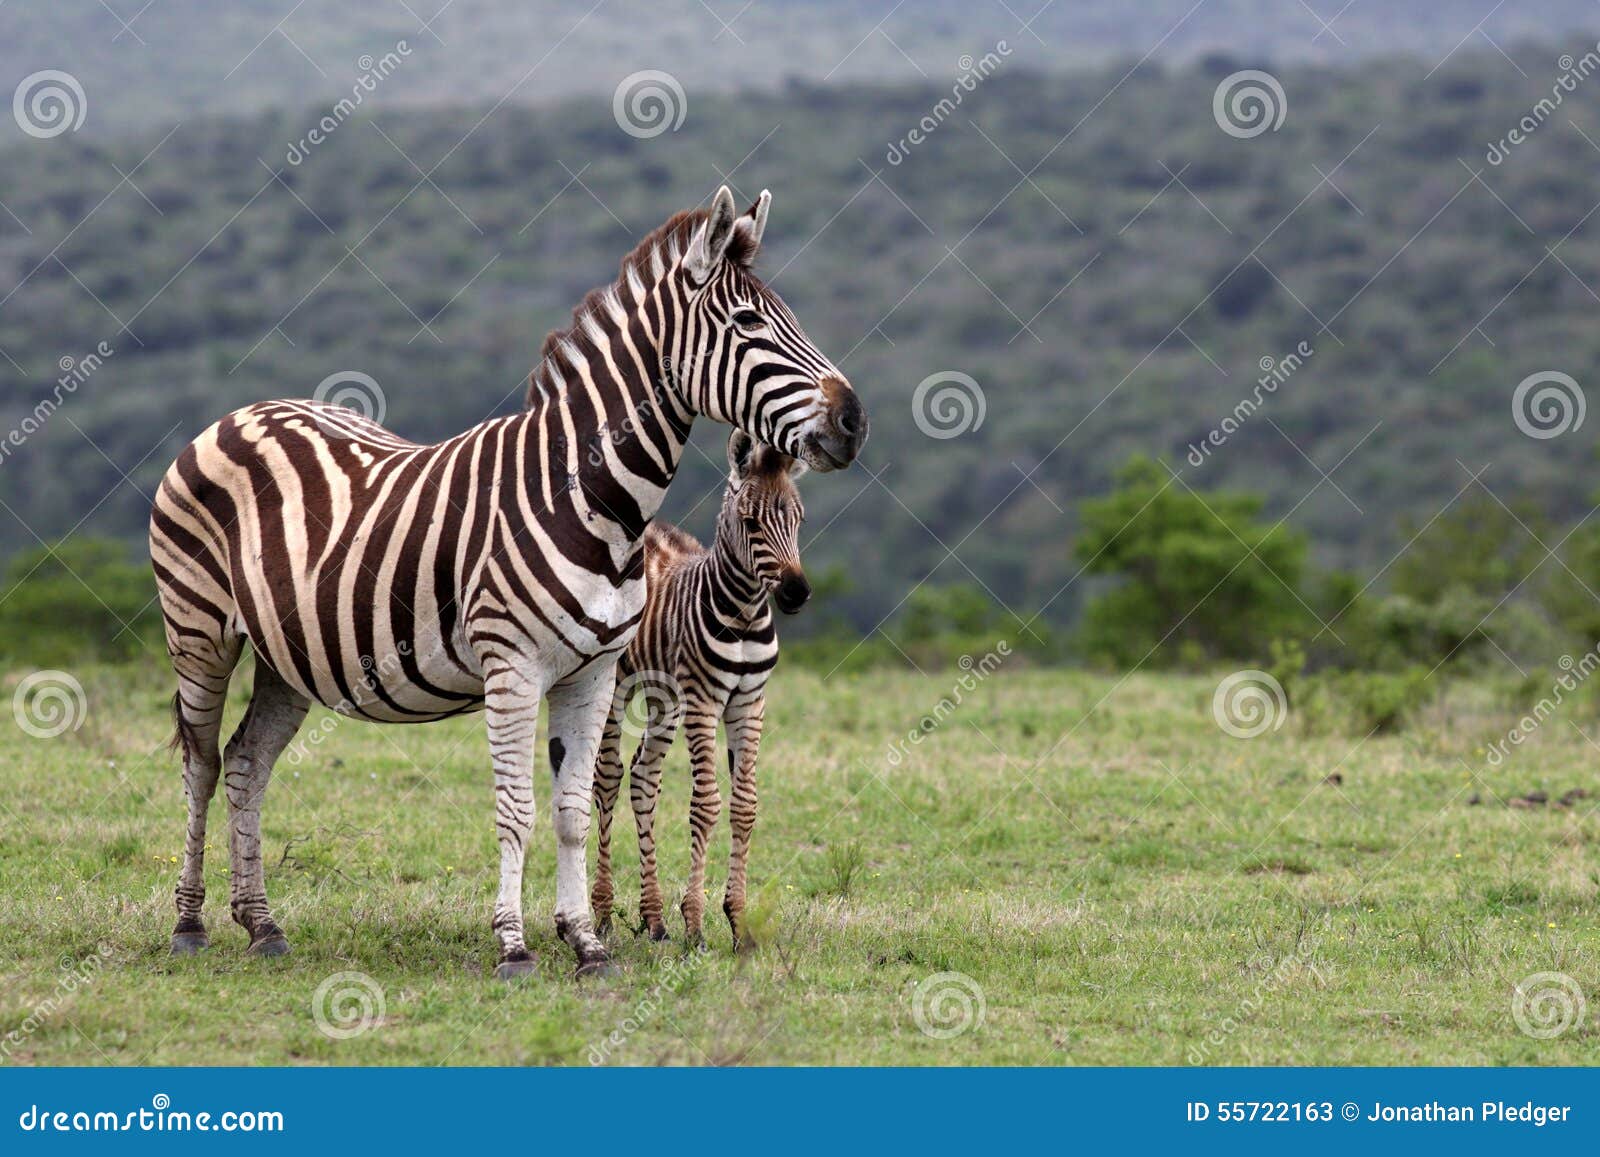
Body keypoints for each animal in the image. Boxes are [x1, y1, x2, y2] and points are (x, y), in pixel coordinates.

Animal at [152, 188, 864, 979]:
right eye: (747, 324)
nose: (854, 420)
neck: (593, 498)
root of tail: (240, 413)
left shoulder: (594, 674)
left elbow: (574, 809)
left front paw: (586, 941)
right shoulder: (514, 667)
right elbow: (517, 809)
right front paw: (514, 944)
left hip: (288, 656)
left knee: (247, 764)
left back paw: (262, 925)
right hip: (198, 632)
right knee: (202, 764)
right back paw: (189, 924)